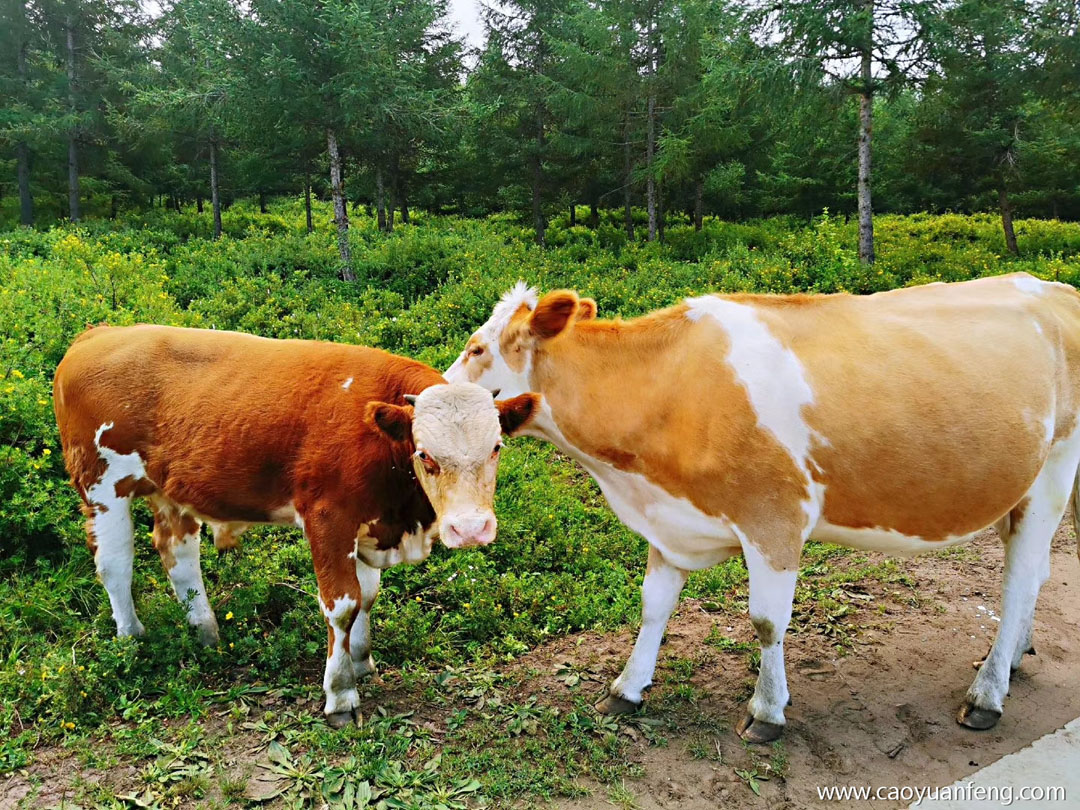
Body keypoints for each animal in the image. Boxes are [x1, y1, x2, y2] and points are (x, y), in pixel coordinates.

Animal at [54, 326, 535, 725]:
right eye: (424, 454)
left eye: (496, 447)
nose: (470, 529)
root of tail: (96, 334)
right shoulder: (327, 517)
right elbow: (343, 605)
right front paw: (340, 693)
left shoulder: (368, 522)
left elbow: (368, 596)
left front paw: (361, 661)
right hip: (101, 484)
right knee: (115, 565)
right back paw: (132, 641)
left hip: (170, 489)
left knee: (179, 556)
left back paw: (205, 633)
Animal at [444, 276, 1080, 747]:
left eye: (477, 348)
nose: (423, 395)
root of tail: (1055, 288)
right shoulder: (671, 522)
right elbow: (653, 606)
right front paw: (627, 688)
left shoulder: (774, 518)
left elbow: (767, 622)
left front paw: (767, 711)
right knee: (1036, 572)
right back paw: (1014, 659)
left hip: (1054, 470)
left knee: (1020, 579)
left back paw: (987, 695)